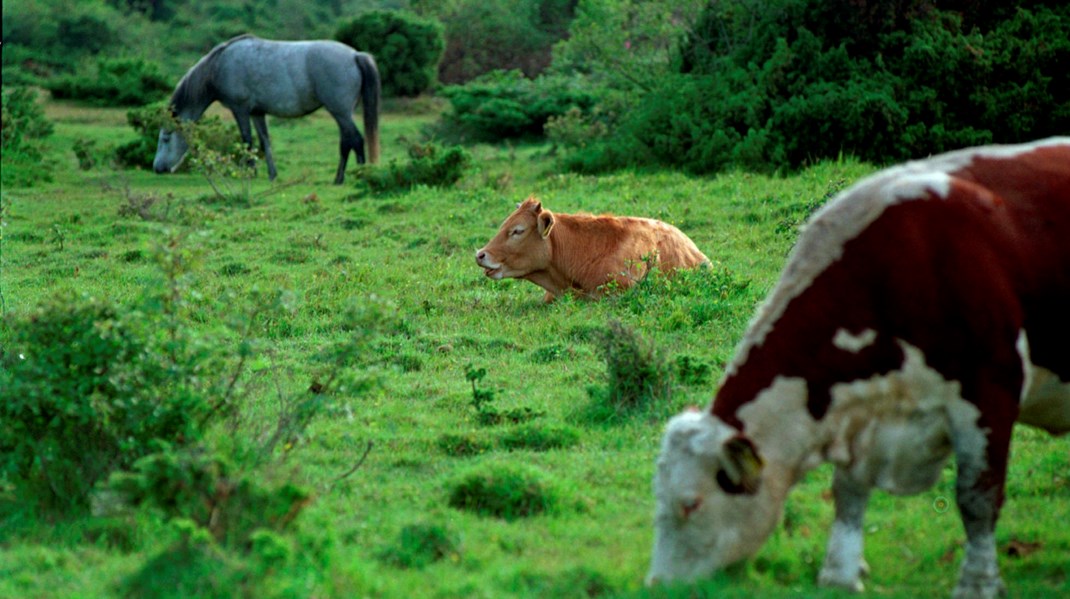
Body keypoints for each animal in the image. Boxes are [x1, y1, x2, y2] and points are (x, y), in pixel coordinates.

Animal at [153, 34, 380, 185]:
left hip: (340, 112)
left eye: (165, 138)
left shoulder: (240, 110)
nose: (157, 168)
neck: (218, 66)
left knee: (355, 140)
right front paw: (272, 174)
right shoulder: (257, 112)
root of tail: (355, 55)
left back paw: (356, 176)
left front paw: (250, 173)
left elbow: (247, 141)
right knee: (347, 141)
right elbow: (264, 142)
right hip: (341, 113)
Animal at [642, 137, 1070, 594]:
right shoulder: (861, 416)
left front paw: (977, 583)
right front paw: (840, 574)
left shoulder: (990, 390)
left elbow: (977, 498)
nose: (658, 584)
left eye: (691, 503)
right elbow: (847, 492)